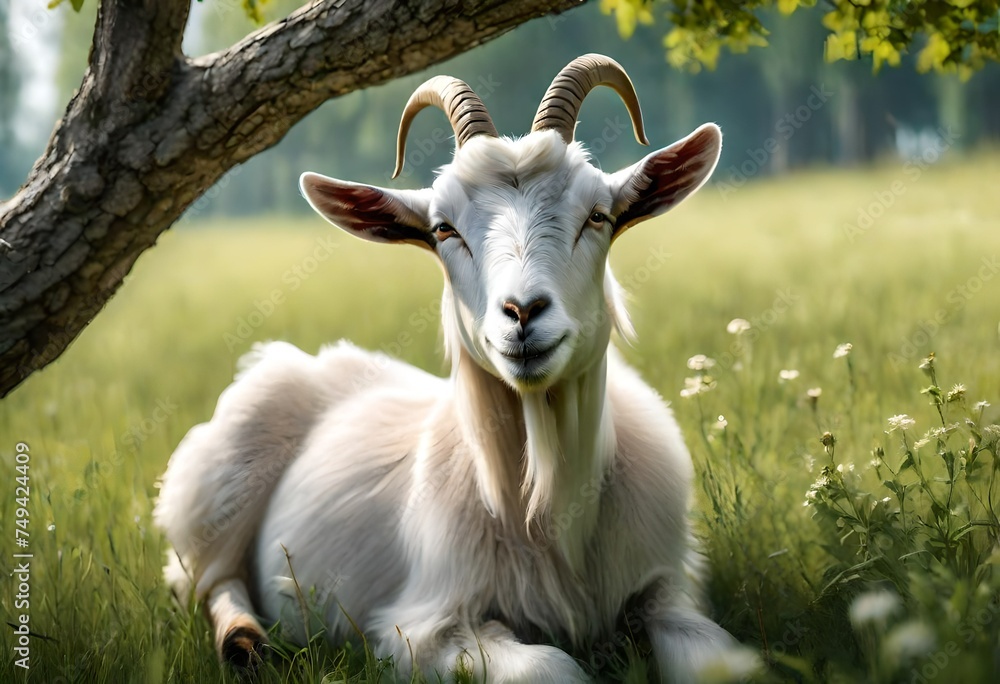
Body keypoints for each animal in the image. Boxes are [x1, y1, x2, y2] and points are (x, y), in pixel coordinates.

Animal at [154, 54, 733, 682]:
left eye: (598, 215)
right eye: (443, 230)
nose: (522, 313)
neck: (547, 508)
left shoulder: (667, 583)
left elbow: (718, 659)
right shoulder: (421, 629)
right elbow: (546, 668)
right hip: (211, 497)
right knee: (207, 581)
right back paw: (244, 642)